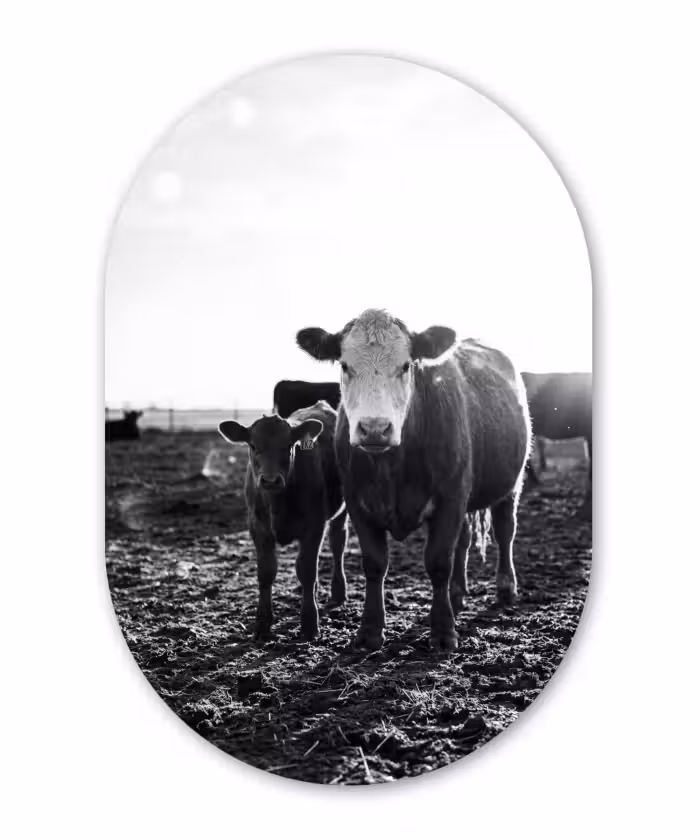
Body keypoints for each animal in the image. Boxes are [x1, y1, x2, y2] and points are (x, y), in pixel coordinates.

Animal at [218, 401, 348, 642]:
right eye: (252, 445)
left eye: (289, 445)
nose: (270, 480)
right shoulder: (257, 527)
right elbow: (266, 572)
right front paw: (262, 624)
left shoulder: (315, 526)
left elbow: (306, 570)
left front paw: (309, 624)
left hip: (342, 510)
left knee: (338, 543)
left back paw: (338, 591)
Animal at [297, 309, 530, 653]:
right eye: (345, 365)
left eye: (406, 365)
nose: (375, 428)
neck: (392, 468)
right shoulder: (358, 502)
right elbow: (375, 563)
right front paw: (370, 631)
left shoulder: (450, 498)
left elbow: (438, 561)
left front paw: (444, 631)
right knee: (464, 541)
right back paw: (457, 593)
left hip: (510, 485)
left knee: (505, 532)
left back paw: (505, 588)